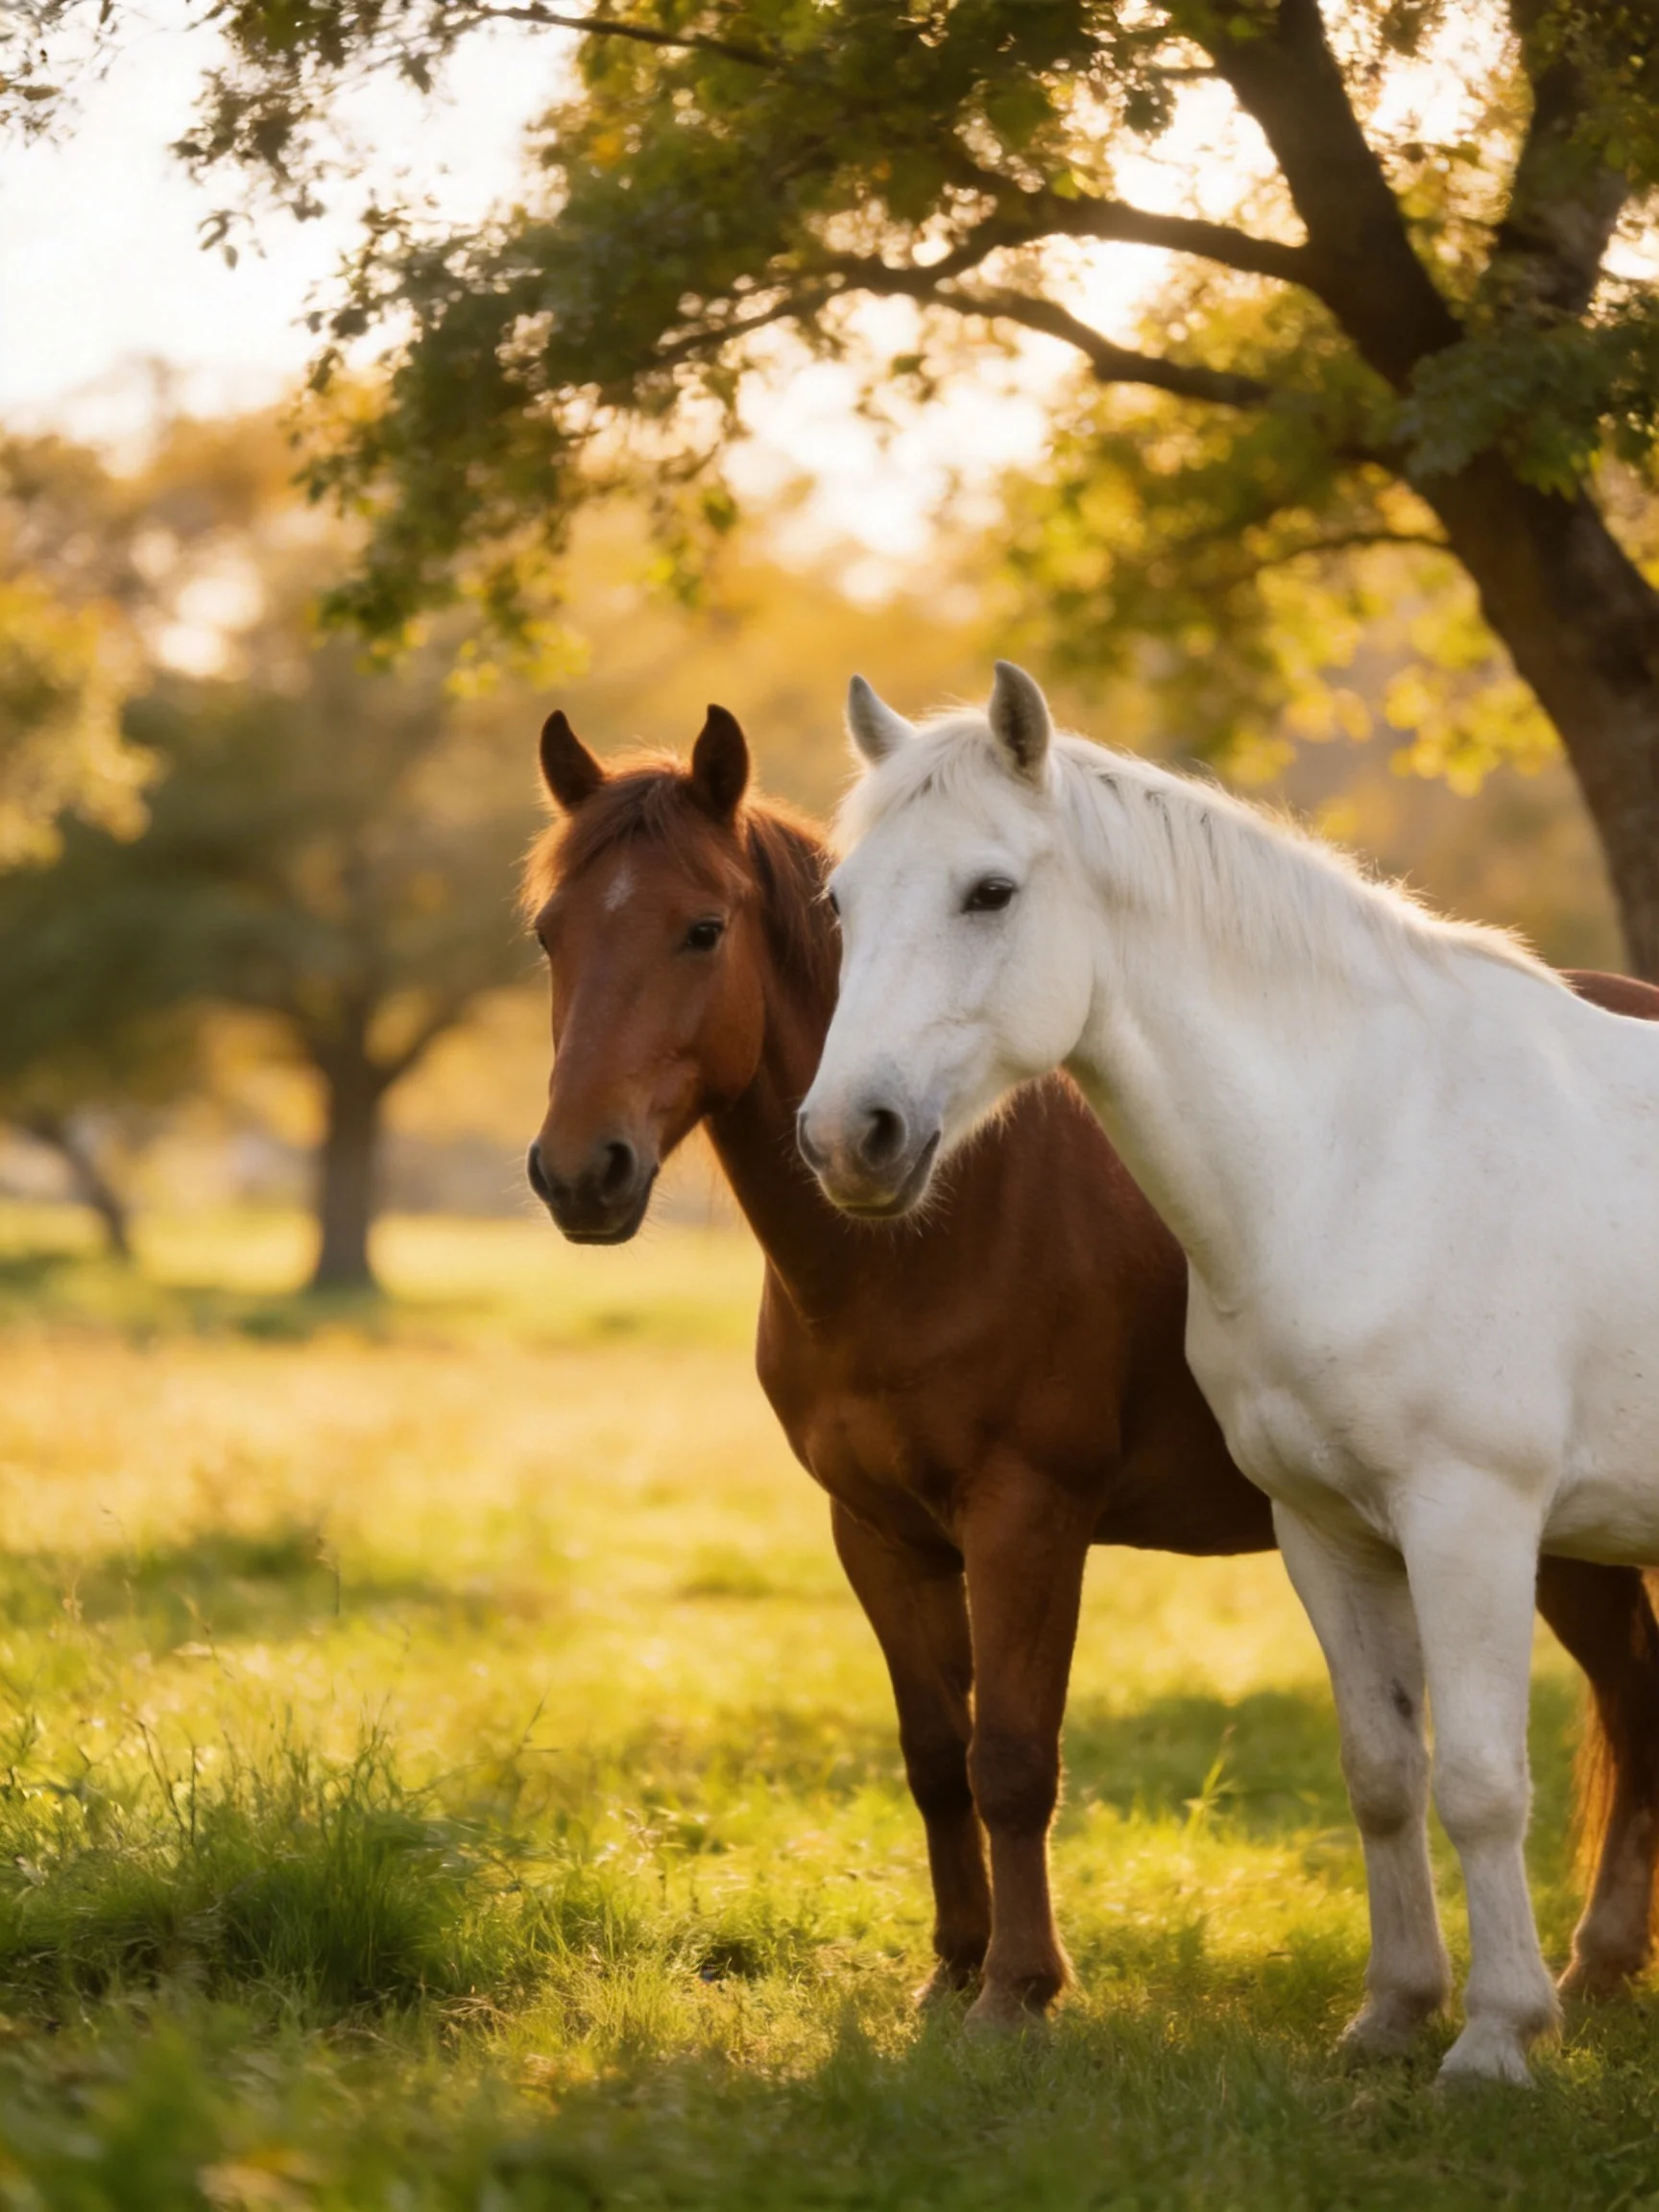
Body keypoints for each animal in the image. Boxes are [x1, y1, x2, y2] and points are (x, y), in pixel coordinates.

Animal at [524, 696, 1659, 2049]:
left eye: (702, 928)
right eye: (548, 933)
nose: (580, 1171)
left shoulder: (1031, 1514)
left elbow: (1012, 1757)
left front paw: (1018, 1989)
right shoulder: (879, 1532)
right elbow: (933, 1753)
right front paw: (951, 1968)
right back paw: (1602, 1969)